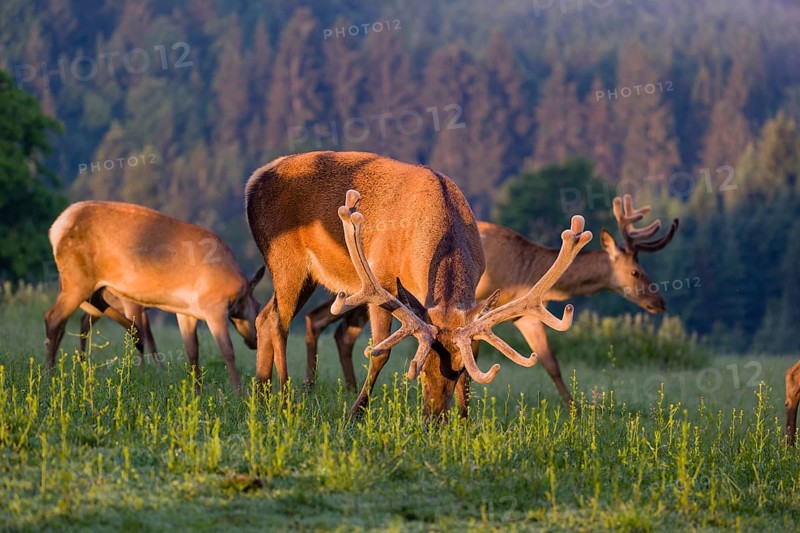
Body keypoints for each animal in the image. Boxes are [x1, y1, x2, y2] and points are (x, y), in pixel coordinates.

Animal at [45, 201, 265, 392]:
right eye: (259, 307)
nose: (255, 341)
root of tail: (55, 229)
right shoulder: (214, 306)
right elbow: (228, 351)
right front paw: (239, 393)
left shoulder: (186, 312)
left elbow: (192, 352)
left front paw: (197, 393)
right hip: (78, 279)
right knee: (54, 318)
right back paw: (50, 375)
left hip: (89, 284)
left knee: (86, 312)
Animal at [244, 151, 592, 418]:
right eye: (421, 368)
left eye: (458, 370)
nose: (435, 418)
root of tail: (253, 181)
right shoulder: (382, 281)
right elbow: (379, 351)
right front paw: (356, 412)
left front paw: (465, 420)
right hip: (285, 259)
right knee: (279, 322)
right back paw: (283, 397)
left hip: (306, 275)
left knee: (264, 316)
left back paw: (259, 394)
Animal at [304, 194, 678, 410]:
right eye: (635, 271)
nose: (660, 302)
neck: (521, 271)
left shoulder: (523, 317)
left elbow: (550, 362)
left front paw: (576, 410)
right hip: (359, 292)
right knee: (322, 320)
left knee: (333, 327)